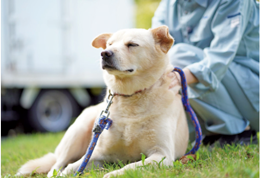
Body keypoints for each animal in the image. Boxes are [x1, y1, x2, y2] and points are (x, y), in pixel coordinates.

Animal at [16, 25, 189, 178]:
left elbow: (132, 166)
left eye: (132, 44)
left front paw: (114, 174)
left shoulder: (161, 155)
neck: (130, 98)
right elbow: (73, 166)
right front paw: (63, 175)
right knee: (58, 163)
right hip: (78, 132)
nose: (104, 53)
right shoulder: (99, 153)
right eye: (110, 44)